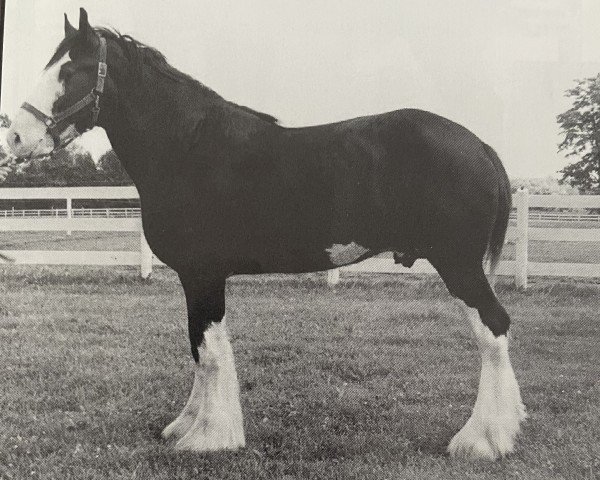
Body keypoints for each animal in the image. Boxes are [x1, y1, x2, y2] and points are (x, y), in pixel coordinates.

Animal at [5, 7, 524, 458]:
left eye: (70, 71)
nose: (15, 137)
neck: (186, 147)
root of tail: (478, 145)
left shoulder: (203, 275)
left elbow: (209, 352)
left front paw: (208, 438)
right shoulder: (196, 279)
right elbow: (199, 349)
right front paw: (186, 425)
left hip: (457, 264)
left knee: (493, 328)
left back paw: (482, 441)